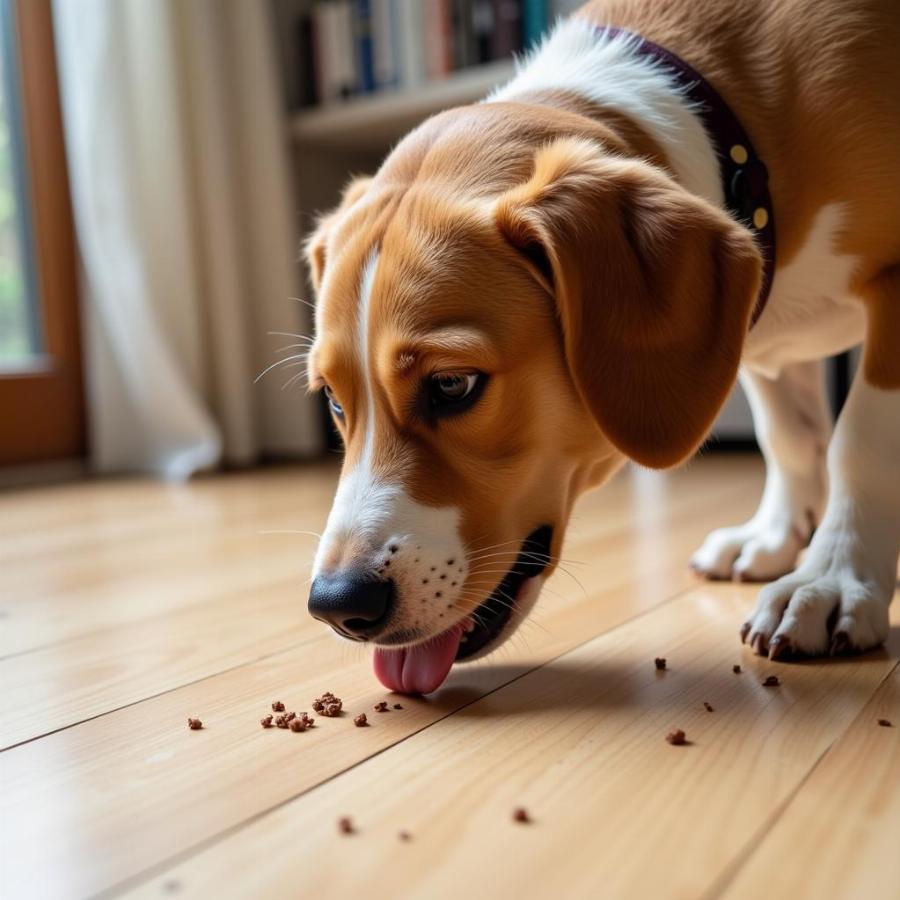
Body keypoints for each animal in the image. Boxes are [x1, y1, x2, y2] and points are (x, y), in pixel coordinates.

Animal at [304, 0, 900, 696]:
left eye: (453, 385)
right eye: (334, 402)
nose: (337, 605)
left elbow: (860, 443)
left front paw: (832, 579)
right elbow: (789, 435)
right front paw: (775, 539)